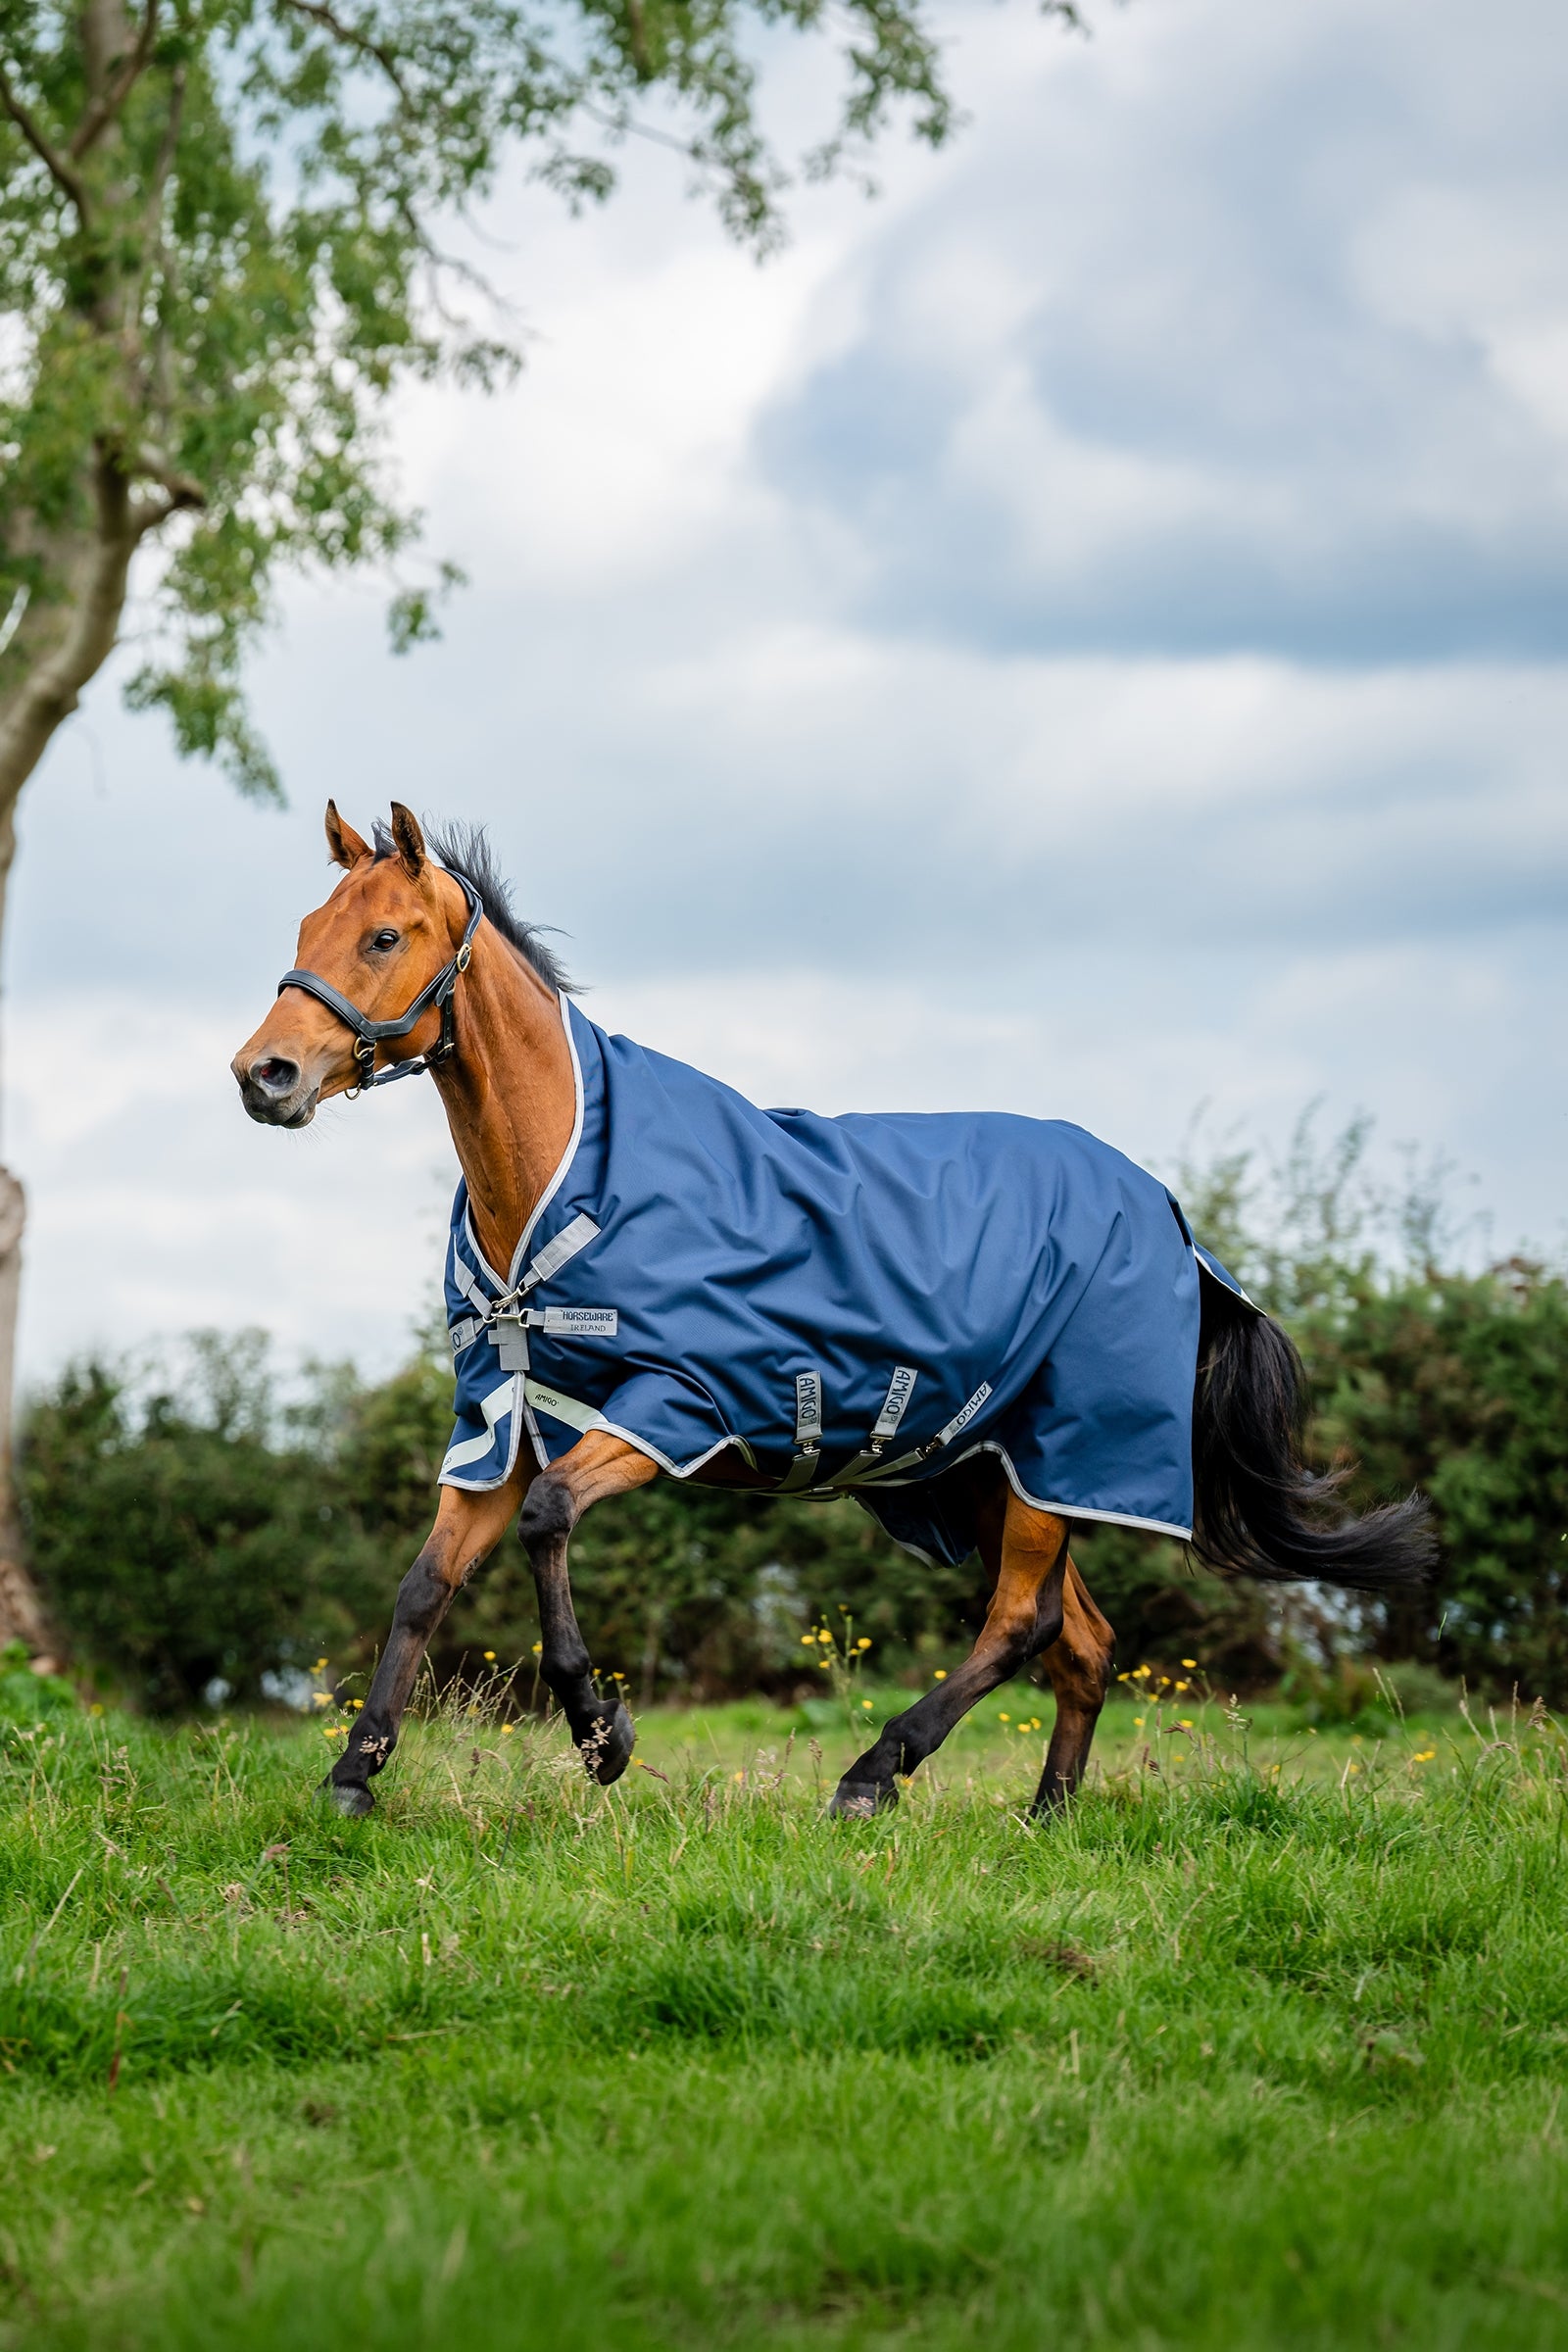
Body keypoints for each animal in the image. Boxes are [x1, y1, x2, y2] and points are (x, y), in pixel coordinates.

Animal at [232, 802, 1433, 1822]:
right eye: (309, 925)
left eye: (384, 936)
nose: (264, 1075)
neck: (568, 1174)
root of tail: (1171, 1219)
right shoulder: (500, 1423)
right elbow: (423, 1584)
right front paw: (354, 1776)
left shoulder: (676, 1404)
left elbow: (550, 1522)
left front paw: (600, 1732)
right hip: (985, 1469)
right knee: (1083, 1644)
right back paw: (1046, 1816)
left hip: (1058, 1456)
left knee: (1026, 1621)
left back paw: (874, 1772)